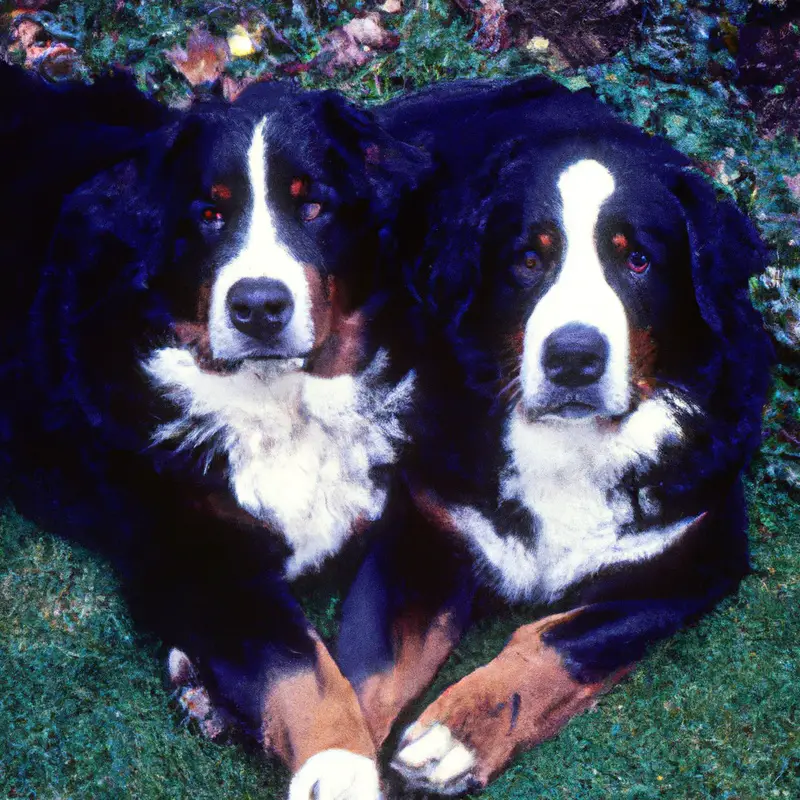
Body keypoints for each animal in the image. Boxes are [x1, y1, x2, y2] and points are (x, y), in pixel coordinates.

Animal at [0, 64, 428, 800]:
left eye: (313, 207)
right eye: (210, 214)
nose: (258, 306)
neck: (281, 400)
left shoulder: (402, 521)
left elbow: (377, 657)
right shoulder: (201, 555)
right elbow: (304, 673)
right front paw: (338, 770)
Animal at [334, 78, 772, 796]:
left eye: (639, 260)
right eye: (528, 259)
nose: (573, 357)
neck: (570, 445)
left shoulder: (696, 556)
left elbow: (560, 637)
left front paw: (460, 731)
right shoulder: (427, 529)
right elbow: (361, 675)